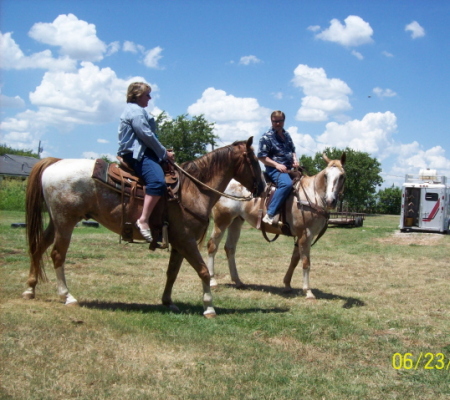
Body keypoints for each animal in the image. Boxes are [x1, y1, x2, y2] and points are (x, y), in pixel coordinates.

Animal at [23, 139, 264, 318]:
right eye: (254, 161)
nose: (262, 187)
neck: (193, 189)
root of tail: (55, 162)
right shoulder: (186, 241)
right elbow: (203, 271)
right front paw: (209, 307)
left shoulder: (179, 243)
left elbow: (172, 272)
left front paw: (168, 301)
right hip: (65, 222)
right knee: (57, 255)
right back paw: (67, 296)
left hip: (55, 222)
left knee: (38, 248)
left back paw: (29, 289)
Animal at [206, 152, 346, 298]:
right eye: (326, 175)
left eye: (342, 176)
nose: (330, 201)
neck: (312, 195)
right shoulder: (306, 235)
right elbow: (306, 262)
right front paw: (308, 291)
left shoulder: (299, 236)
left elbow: (295, 260)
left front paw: (287, 284)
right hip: (222, 220)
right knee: (212, 246)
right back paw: (212, 281)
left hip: (236, 221)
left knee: (230, 248)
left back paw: (238, 281)